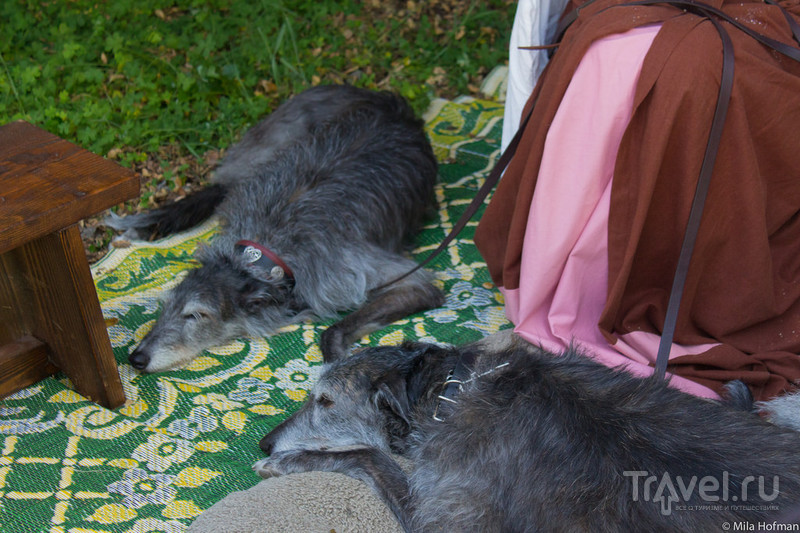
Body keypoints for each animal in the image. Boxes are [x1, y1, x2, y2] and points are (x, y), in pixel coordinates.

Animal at [104, 85, 444, 372]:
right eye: (166, 306)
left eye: (196, 315)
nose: (137, 359)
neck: (269, 244)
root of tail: (388, 98)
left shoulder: (390, 276)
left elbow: (332, 331)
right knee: (222, 185)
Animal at [255, 334, 800, 528]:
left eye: (325, 401)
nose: (263, 440)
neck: (453, 393)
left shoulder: (450, 517)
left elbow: (367, 458)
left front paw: (283, 461)